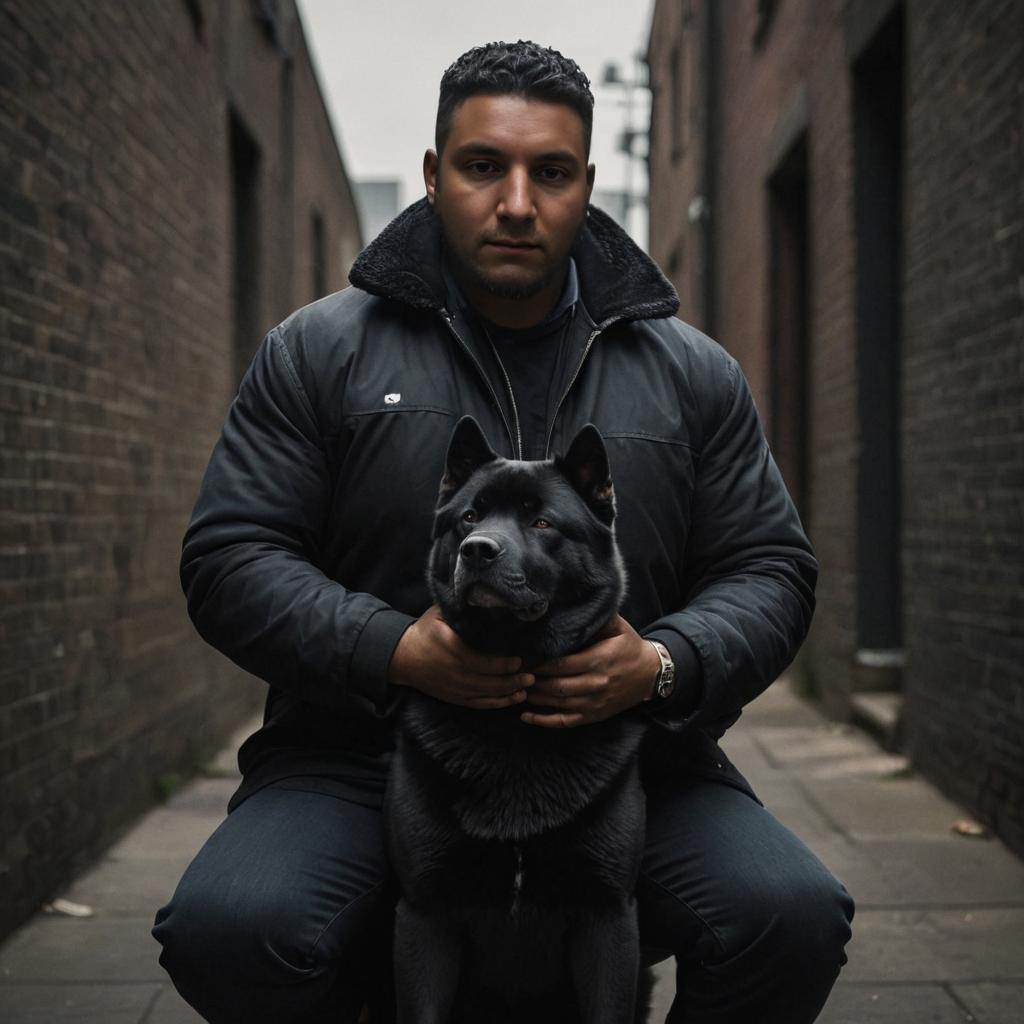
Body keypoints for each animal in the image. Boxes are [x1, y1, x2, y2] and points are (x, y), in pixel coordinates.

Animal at [385, 417, 647, 1024]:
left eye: (542, 521)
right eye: (469, 518)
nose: (478, 550)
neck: (514, 727)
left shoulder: (608, 915)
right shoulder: (424, 912)